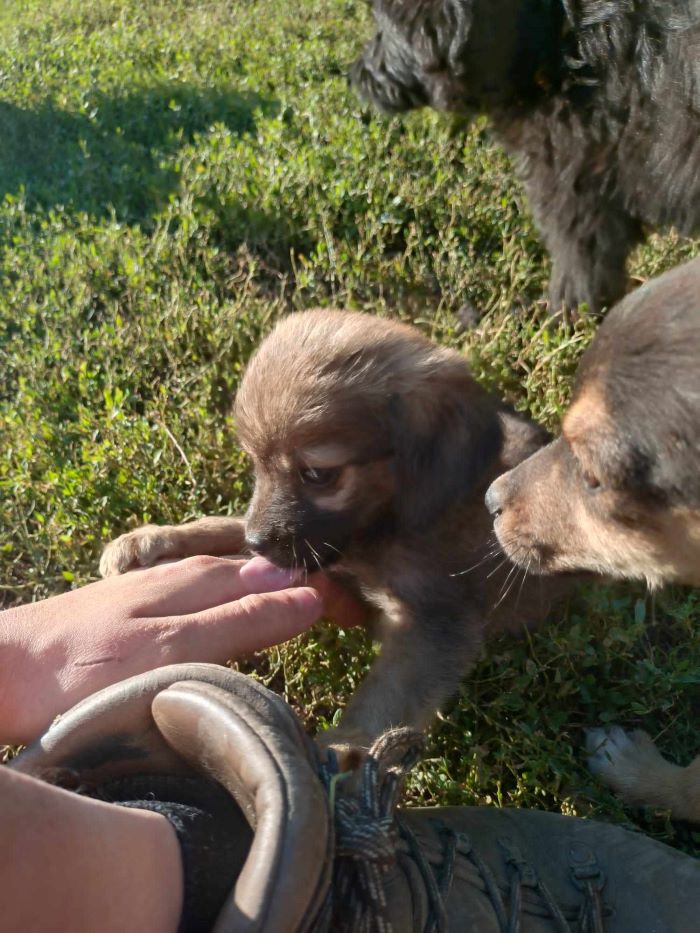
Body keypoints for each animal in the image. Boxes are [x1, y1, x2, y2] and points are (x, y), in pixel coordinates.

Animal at [100, 310, 568, 760]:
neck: (387, 524)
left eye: (317, 474)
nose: (257, 544)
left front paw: (349, 743)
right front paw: (150, 540)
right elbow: (223, 524)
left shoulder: (435, 619)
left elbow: (389, 691)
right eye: (256, 465)